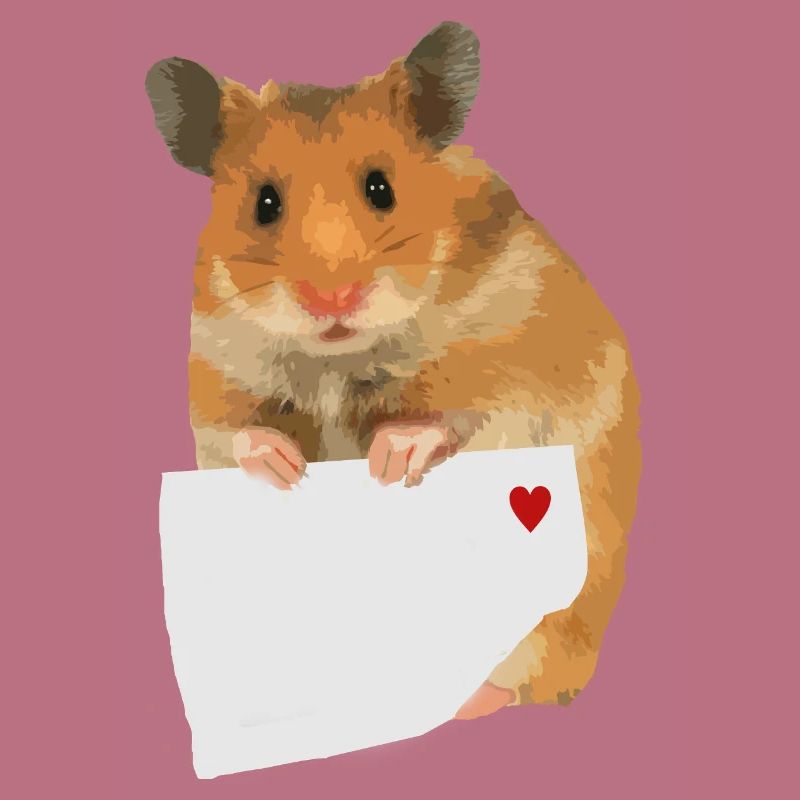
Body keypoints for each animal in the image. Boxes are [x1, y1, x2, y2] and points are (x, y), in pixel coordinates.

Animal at [145, 21, 641, 719]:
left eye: (382, 188)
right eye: (264, 203)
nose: (331, 299)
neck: (339, 357)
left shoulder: (521, 369)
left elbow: (459, 418)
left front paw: (387, 458)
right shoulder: (215, 375)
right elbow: (240, 435)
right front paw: (287, 468)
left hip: (568, 612)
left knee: (535, 675)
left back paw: (469, 702)